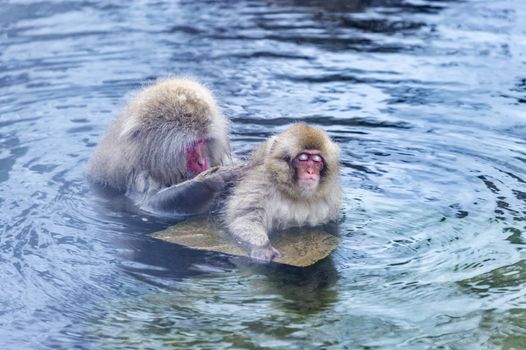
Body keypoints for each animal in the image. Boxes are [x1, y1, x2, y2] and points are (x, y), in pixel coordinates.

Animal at [226, 123, 342, 262]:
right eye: (302, 158)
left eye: (316, 160)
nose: (310, 171)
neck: (296, 194)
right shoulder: (261, 183)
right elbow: (245, 218)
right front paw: (263, 247)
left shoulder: (329, 199)